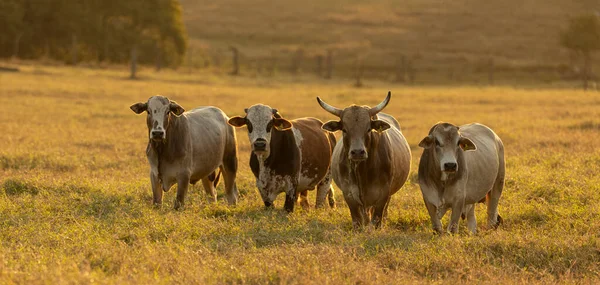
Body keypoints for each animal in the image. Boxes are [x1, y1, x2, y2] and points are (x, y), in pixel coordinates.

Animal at [314, 91, 412, 229]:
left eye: (368, 129)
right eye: (344, 130)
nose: (357, 152)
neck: (363, 171)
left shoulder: (383, 195)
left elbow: (376, 220)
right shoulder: (349, 194)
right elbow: (357, 221)